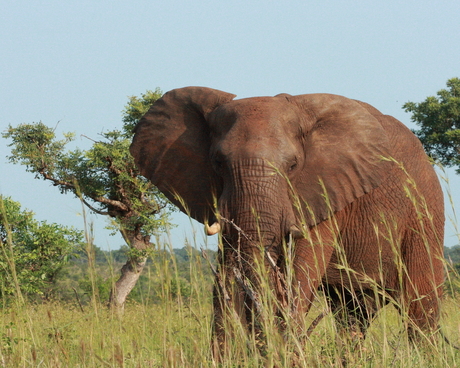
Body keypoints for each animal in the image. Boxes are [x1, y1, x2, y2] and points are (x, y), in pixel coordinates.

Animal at [128, 86, 442, 356]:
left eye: (292, 166)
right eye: (218, 163)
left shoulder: (326, 188)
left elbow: (299, 271)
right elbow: (227, 272)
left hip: (424, 211)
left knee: (419, 306)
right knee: (353, 312)